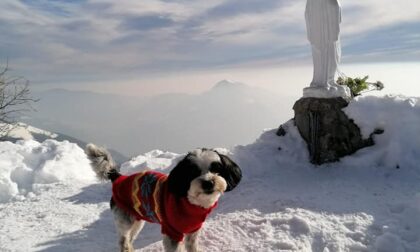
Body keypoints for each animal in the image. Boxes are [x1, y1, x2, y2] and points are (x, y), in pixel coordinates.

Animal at [85, 144, 241, 252]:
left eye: (216, 169)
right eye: (193, 173)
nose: (208, 182)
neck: (190, 202)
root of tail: (119, 178)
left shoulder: (193, 231)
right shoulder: (172, 231)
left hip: (137, 220)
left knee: (129, 238)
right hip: (125, 219)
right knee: (123, 241)